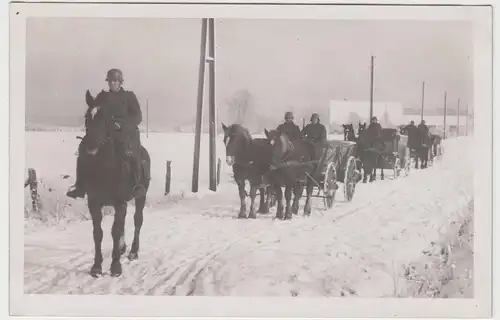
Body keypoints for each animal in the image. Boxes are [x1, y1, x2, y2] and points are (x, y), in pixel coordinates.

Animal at [79, 90, 150, 278]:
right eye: (87, 116)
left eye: (105, 119)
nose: (90, 145)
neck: (105, 167)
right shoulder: (94, 203)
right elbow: (98, 233)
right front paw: (96, 267)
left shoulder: (120, 202)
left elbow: (115, 231)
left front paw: (116, 266)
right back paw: (123, 248)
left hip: (141, 196)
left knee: (137, 220)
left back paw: (133, 251)